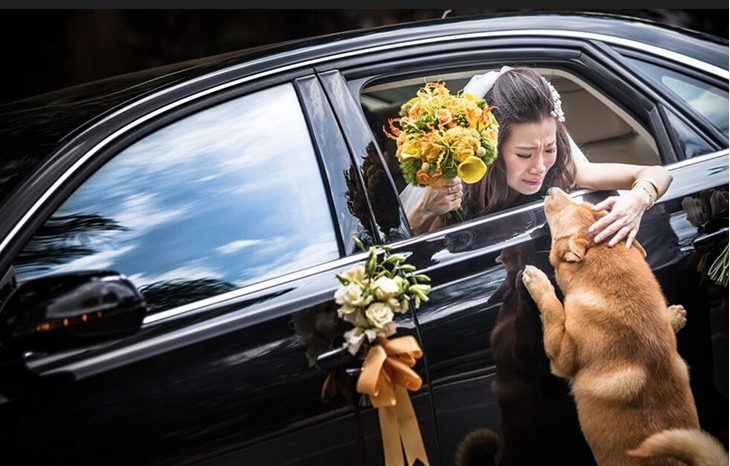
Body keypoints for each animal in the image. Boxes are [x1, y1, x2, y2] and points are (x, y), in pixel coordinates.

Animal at [521, 187, 727, 466]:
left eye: (562, 213)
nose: (551, 189)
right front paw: (674, 316)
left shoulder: (561, 357)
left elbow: (552, 306)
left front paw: (537, 280)